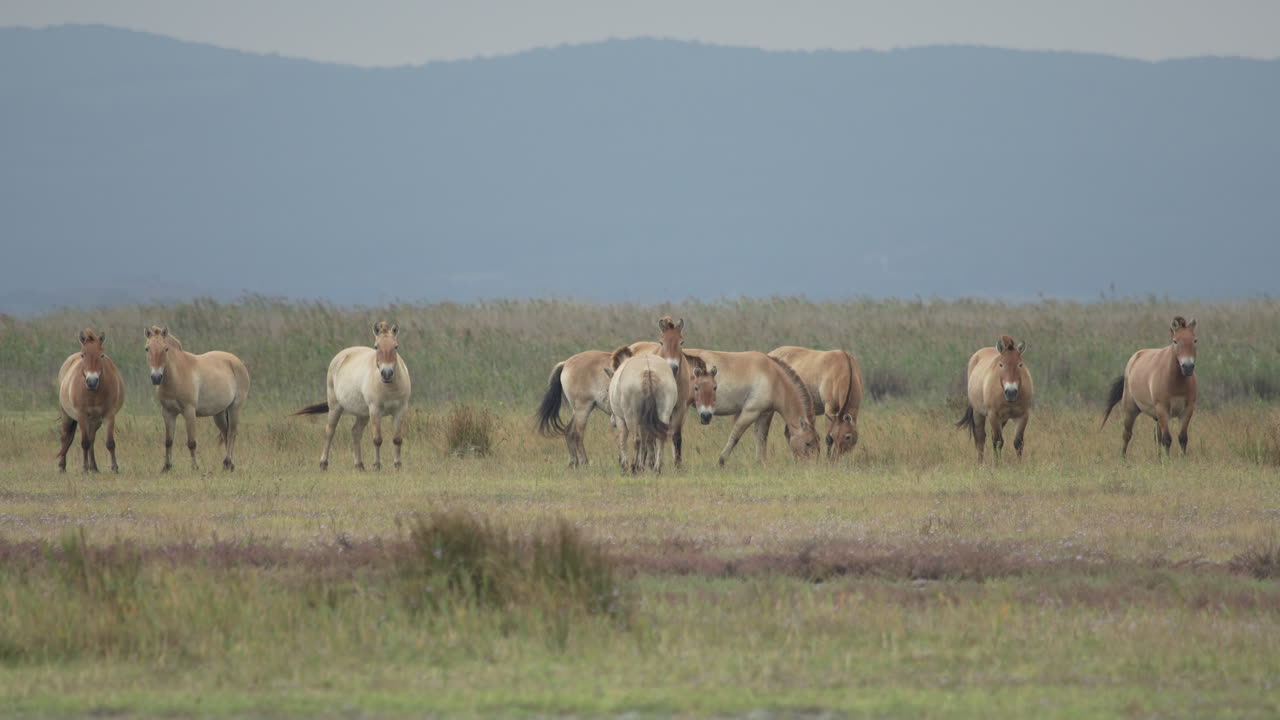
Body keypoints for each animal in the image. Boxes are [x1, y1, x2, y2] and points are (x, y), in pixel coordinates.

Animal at [56, 329, 125, 472]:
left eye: (102, 355)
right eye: (83, 355)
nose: (92, 382)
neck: (93, 393)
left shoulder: (109, 415)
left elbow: (110, 443)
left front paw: (114, 468)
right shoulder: (81, 416)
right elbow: (84, 443)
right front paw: (83, 468)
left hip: (94, 421)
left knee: (92, 439)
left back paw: (93, 467)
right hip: (67, 416)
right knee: (64, 437)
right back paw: (62, 467)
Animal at [145, 326, 250, 472]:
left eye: (165, 349)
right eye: (147, 348)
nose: (156, 378)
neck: (177, 375)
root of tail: (236, 361)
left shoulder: (189, 411)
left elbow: (191, 442)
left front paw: (195, 467)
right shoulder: (168, 412)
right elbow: (168, 441)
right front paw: (166, 467)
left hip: (234, 408)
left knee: (231, 433)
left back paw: (227, 461)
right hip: (219, 413)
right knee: (225, 433)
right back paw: (229, 465)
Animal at [294, 321, 411, 470]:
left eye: (396, 346)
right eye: (376, 346)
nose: (387, 373)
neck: (389, 387)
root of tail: (342, 355)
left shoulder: (400, 410)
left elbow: (397, 439)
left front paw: (398, 466)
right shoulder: (375, 410)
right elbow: (377, 439)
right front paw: (377, 466)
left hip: (363, 413)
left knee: (356, 432)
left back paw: (359, 465)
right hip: (336, 406)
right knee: (330, 431)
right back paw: (324, 464)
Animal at [634, 344, 818, 465]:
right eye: (808, 443)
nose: (811, 465)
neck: (774, 377)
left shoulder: (763, 414)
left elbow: (761, 438)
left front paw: (760, 462)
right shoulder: (750, 412)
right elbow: (735, 436)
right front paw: (721, 460)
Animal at [1102, 316, 1198, 456]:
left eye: (1195, 340)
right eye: (1175, 341)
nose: (1188, 367)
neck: (1176, 382)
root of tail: (1133, 359)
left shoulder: (1187, 410)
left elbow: (1182, 438)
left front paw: (1182, 459)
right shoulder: (1162, 409)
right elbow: (1167, 439)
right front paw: (1169, 460)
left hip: (1157, 416)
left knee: (1157, 436)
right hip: (1131, 410)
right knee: (1127, 435)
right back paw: (1123, 458)